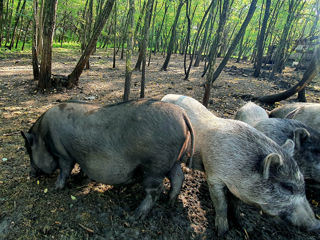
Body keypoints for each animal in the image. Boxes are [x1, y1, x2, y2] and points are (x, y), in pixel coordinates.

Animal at [21, 99, 195, 219]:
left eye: (28, 151)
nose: (30, 174)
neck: (43, 136)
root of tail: (182, 114)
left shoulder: (63, 154)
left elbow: (64, 169)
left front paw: (56, 188)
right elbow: (80, 169)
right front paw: (78, 179)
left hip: (155, 165)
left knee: (156, 189)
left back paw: (134, 216)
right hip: (172, 160)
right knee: (178, 177)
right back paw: (170, 202)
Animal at [162, 94, 320, 236]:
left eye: (303, 185)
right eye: (287, 187)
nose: (316, 225)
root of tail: (166, 96)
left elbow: (235, 203)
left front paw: (242, 225)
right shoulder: (213, 176)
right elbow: (221, 204)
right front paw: (222, 232)